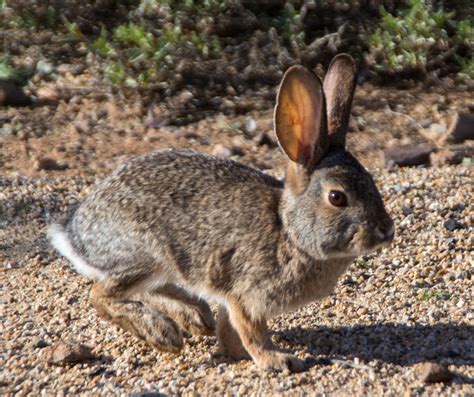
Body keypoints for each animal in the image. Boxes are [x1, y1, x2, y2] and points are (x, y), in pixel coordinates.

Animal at [50, 53, 394, 372]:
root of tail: (76, 232)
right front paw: (277, 360)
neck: (290, 232)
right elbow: (252, 333)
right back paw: (162, 333)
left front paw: (236, 354)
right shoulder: (246, 295)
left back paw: (193, 316)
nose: (386, 230)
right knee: (101, 295)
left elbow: (230, 331)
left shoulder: (233, 297)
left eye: (372, 182)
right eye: (337, 197)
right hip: (142, 254)